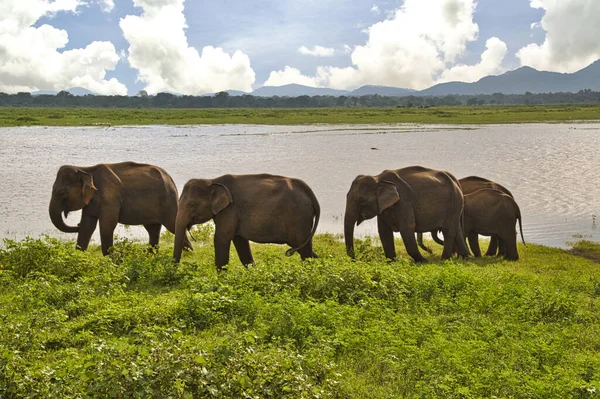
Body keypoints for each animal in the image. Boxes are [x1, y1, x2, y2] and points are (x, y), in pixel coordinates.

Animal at [51, 161, 193, 255]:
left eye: (62, 193)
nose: (77, 224)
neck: (85, 169)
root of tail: (170, 178)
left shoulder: (110, 198)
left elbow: (107, 225)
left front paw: (111, 260)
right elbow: (88, 226)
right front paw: (78, 257)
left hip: (169, 202)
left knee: (173, 225)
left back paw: (189, 254)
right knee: (153, 229)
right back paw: (152, 255)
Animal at [171, 175, 322, 272]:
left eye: (191, 205)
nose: (176, 268)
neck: (211, 181)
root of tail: (311, 194)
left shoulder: (230, 209)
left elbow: (221, 238)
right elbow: (240, 241)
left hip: (299, 217)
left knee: (304, 250)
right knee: (307, 250)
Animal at [344, 166, 472, 262]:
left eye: (361, 200)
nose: (356, 260)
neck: (378, 178)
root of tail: (456, 181)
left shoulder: (404, 201)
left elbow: (406, 228)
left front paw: (423, 261)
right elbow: (384, 231)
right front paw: (391, 261)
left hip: (454, 203)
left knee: (448, 230)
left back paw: (444, 259)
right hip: (456, 206)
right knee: (456, 229)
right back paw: (465, 257)